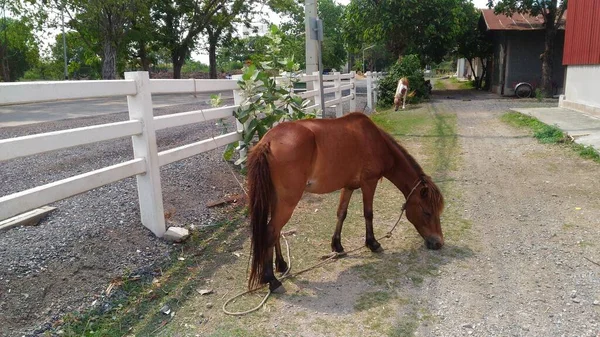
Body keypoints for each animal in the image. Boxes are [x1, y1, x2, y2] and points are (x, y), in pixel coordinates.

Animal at [246, 111, 442, 290]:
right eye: (427, 212)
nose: (439, 242)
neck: (375, 141)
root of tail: (267, 141)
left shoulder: (348, 187)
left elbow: (342, 213)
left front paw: (337, 245)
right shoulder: (369, 183)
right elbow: (368, 213)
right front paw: (372, 243)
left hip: (277, 199)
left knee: (276, 231)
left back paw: (281, 265)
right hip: (288, 201)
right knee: (271, 231)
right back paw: (271, 279)